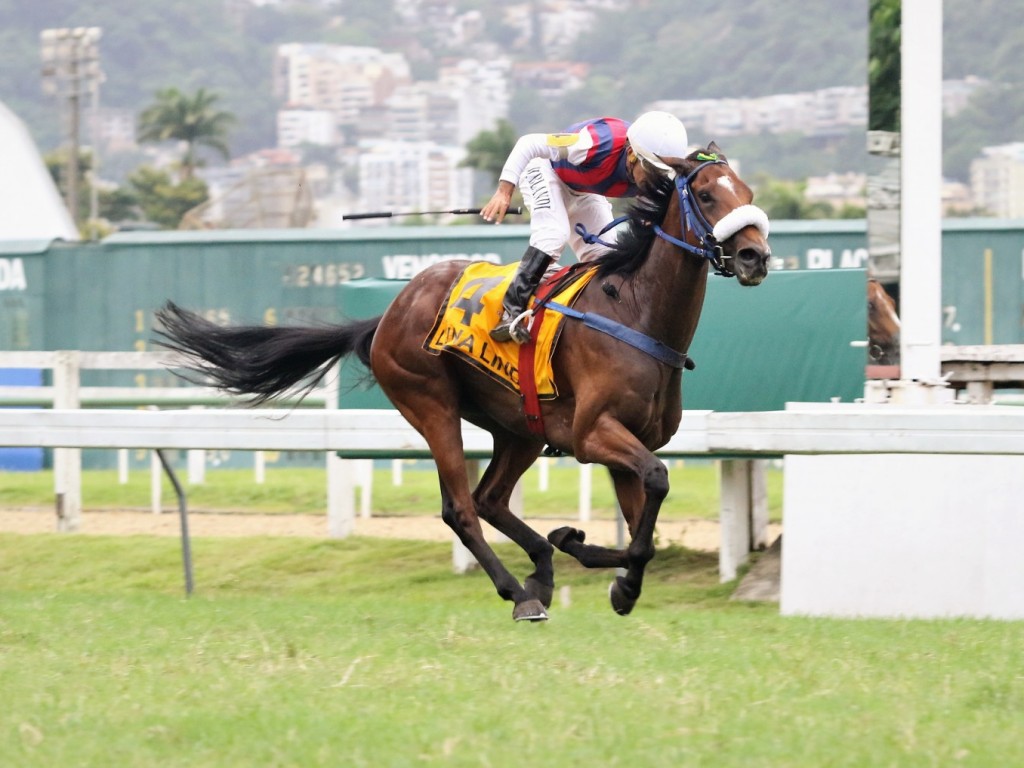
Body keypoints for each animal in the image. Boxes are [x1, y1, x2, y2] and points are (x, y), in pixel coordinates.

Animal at [155, 144, 770, 622]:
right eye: (708, 196)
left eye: (746, 189)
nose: (754, 255)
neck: (636, 312)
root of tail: (386, 314)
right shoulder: (594, 435)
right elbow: (657, 484)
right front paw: (598, 567)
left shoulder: (626, 442)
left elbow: (645, 521)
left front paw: (603, 568)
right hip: (431, 404)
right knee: (461, 509)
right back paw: (519, 593)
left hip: (519, 427)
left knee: (490, 499)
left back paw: (542, 567)